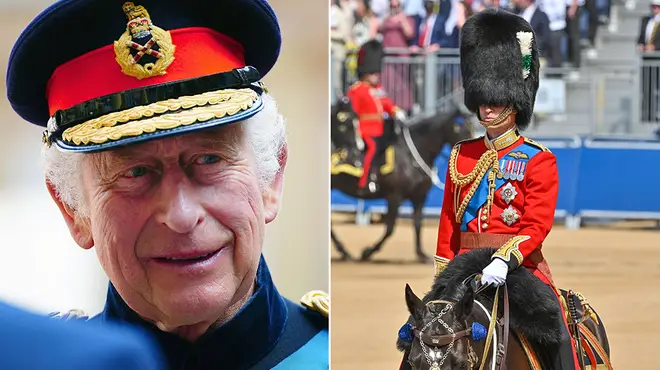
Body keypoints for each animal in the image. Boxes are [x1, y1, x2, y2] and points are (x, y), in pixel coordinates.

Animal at [332, 97, 476, 262]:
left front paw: (421, 254)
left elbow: (418, 224)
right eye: (460, 127)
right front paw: (367, 252)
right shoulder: (395, 196)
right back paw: (344, 251)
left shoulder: (419, 197)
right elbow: (390, 228)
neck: (410, 156)